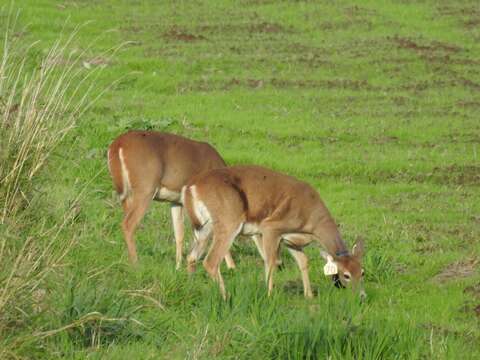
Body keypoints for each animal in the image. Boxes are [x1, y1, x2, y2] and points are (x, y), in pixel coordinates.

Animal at [108, 130, 236, 270]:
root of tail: (118, 145)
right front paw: (231, 267)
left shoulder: (176, 202)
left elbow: (179, 233)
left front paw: (177, 267)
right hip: (145, 189)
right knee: (128, 224)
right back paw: (136, 265)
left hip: (126, 194)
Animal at [182, 165, 366, 300]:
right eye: (346, 275)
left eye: (363, 272)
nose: (362, 296)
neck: (311, 222)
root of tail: (191, 187)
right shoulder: (270, 227)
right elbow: (271, 261)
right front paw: (270, 295)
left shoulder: (291, 241)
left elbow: (303, 261)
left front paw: (309, 296)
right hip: (228, 221)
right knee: (210, 261)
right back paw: (226, 297)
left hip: (204, 228)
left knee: (191, 257)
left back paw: (191, 287)